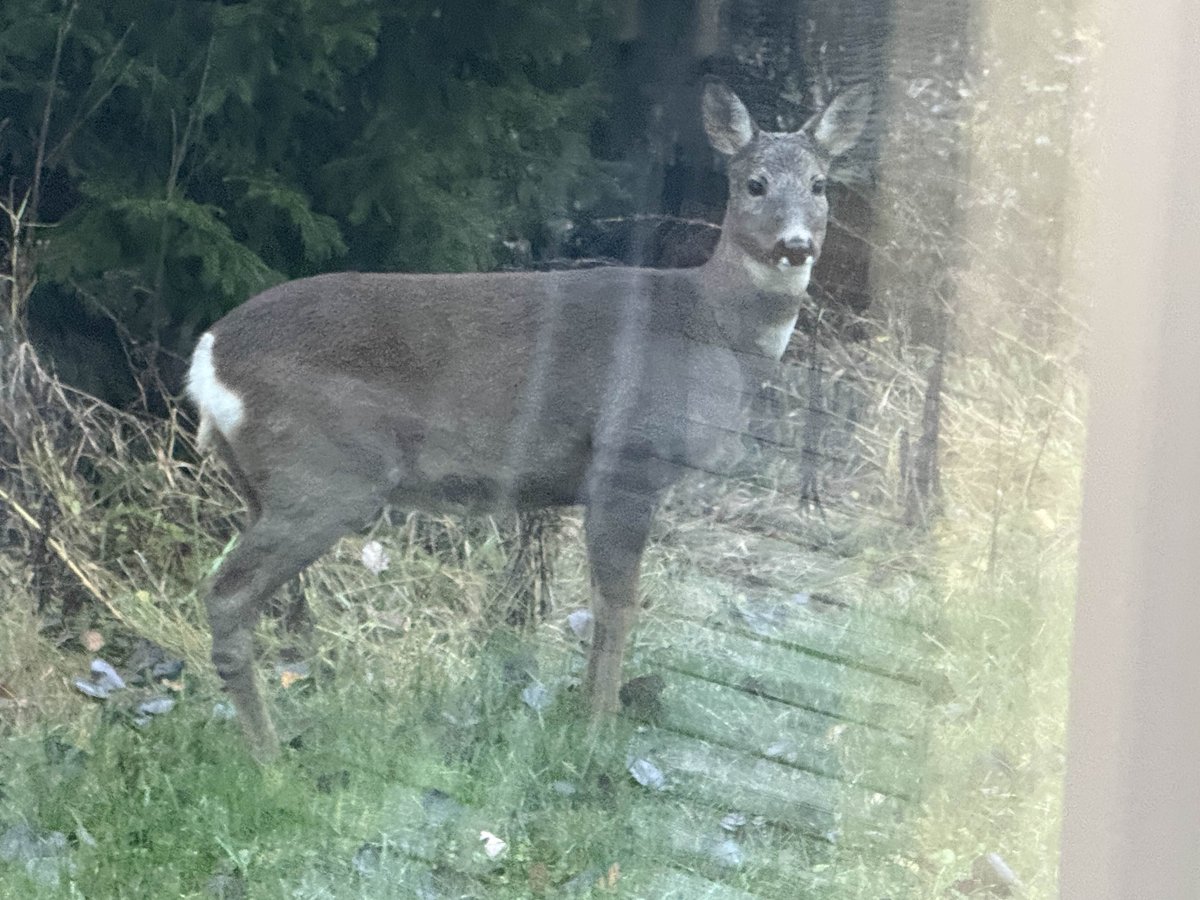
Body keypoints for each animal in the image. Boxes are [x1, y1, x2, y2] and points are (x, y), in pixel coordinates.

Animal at [186, 80, 871, 759]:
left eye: (819, 184)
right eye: (754, 183)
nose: (795, 246)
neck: (712, 325)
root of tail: (207, 358)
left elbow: (597, 601)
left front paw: (587, 715)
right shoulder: (628, 460)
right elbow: (618, 606)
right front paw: (598, 733)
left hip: (266, 483)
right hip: (325, 475)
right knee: (226, 595)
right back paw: (270, 758)